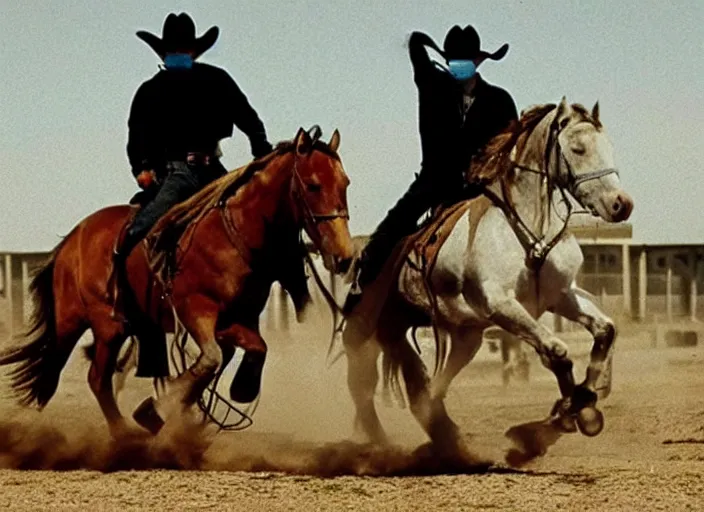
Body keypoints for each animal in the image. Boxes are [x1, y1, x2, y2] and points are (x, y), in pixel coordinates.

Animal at [0, 126, 352, 438]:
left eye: (345, 183)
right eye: (313, 185)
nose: (344, 256)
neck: (232, 233)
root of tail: (71, 240)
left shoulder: (237, 319)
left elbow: (251, 350)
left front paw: (239, 389)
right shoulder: (195, 310)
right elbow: (211, 359)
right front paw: (154, 411)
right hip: (94, 324)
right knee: (94, 377)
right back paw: (124, 436)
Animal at [340, 98, 632, 462]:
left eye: (609, 146)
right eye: (578, 148)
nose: (621, 205)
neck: (529, 231)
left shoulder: (561, 295)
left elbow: (604, 331)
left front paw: (580, 406)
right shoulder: (501, 305)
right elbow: (556, 350)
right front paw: (559, 420)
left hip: (462, 338)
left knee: (429, 392)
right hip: (366, 331)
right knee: (363, 387)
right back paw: (383, 445)